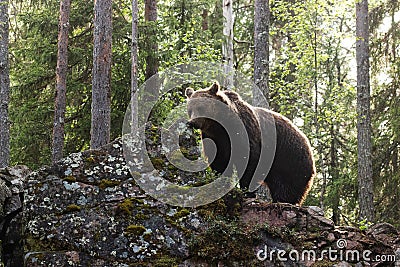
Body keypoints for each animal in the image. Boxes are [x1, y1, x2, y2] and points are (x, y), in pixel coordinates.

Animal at [185, 82, 316, 206]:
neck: (221, 127)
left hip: (290, 160)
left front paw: (247, 192)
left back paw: (283, 200)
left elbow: (249, 163)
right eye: (190, 110)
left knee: (287, 187)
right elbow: (219, 162)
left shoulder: (245, 134)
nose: (192, 122)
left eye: (201, 107)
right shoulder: (215, 139)